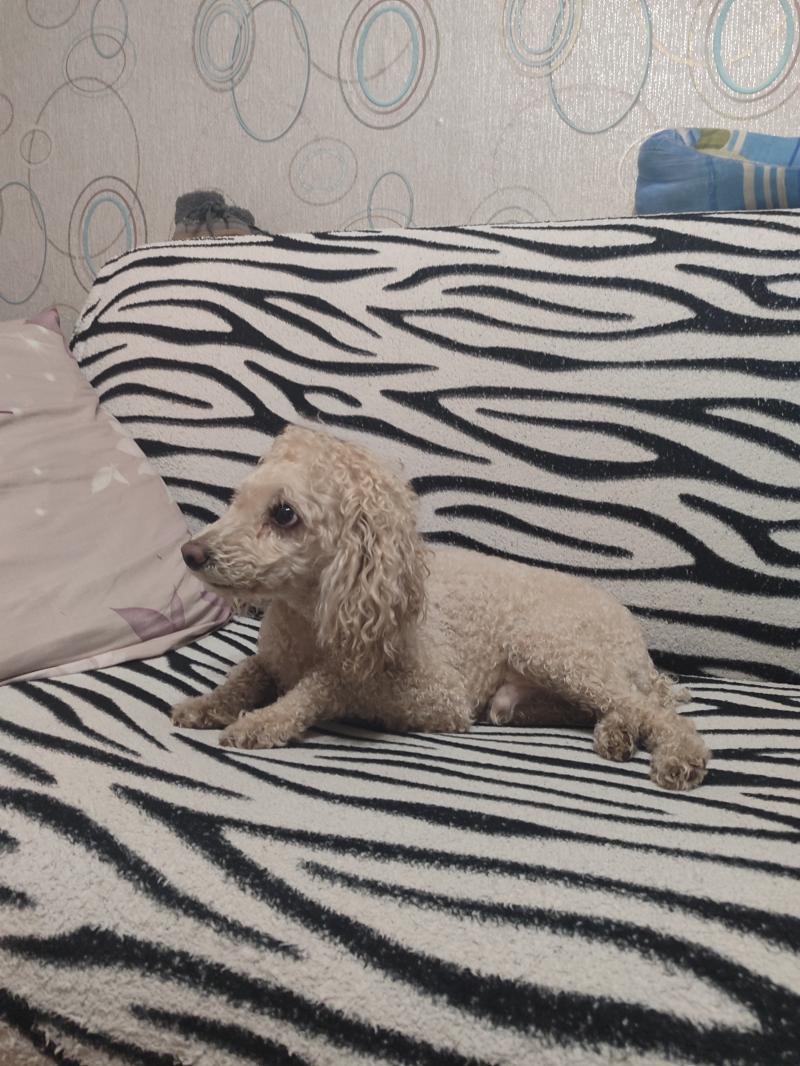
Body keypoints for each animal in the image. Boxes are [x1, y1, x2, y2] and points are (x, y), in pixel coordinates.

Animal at [171, 426, 709, 790]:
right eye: (237, 500)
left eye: (285, 515)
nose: (189, 553)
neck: (311, 616)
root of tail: (636, 639)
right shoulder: (273, 658)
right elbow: (247, 671)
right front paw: (208, 704)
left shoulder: (436, 698)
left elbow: (325, 684)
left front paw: (262, 722)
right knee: (618, 706)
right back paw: (614, 733)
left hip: (552, 649)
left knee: (653, 710)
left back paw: (678, 756)